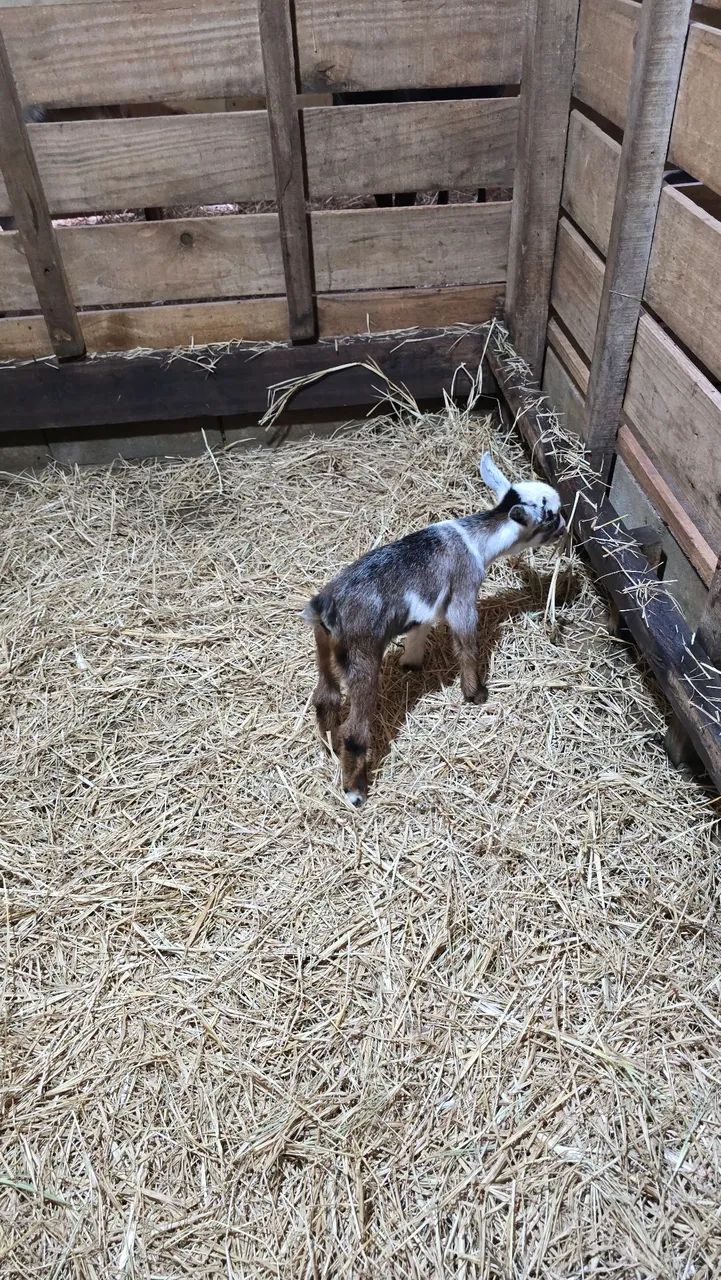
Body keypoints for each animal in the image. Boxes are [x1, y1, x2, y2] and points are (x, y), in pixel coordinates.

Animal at [303, 454, 565, 806]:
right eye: (550, 516)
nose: (564, 529)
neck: (475, 541)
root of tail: (326, 607)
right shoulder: (463, 594)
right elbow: (466, 642)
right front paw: (475, 693)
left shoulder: (426, 608)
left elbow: (419, 632)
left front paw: (412, 664)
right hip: (362, 655)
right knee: (355, 731)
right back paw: (355, 790)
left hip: (325, 652)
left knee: (325, 697)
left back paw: (328, 743)